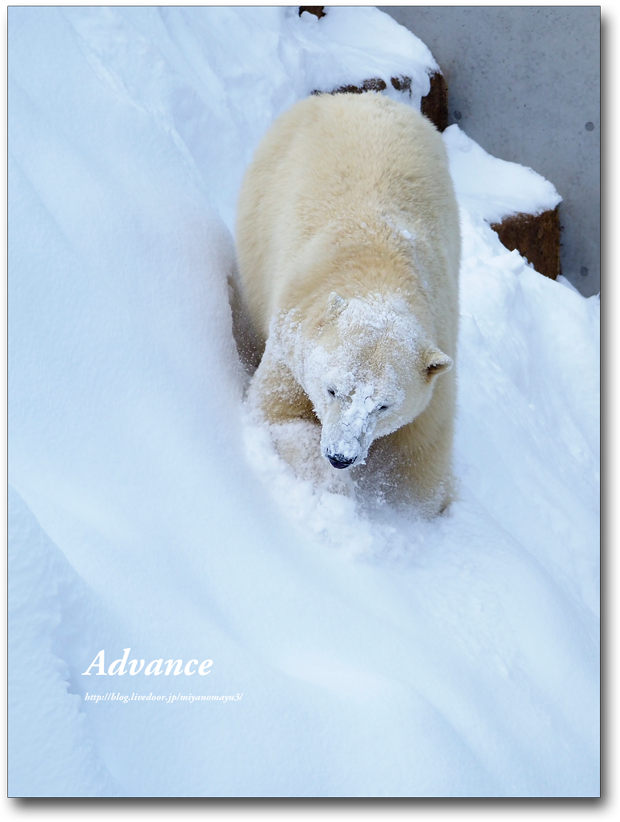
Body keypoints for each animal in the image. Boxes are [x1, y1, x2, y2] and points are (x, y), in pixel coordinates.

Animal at [235, 90, 458, 516]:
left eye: (383, 406)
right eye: (332, 389)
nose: (341, 456)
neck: (380, 273)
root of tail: (358, 96)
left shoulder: (438, 362)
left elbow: (420, 458)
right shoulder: (294, 332)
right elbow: (278, 414)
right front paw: (338, 496)